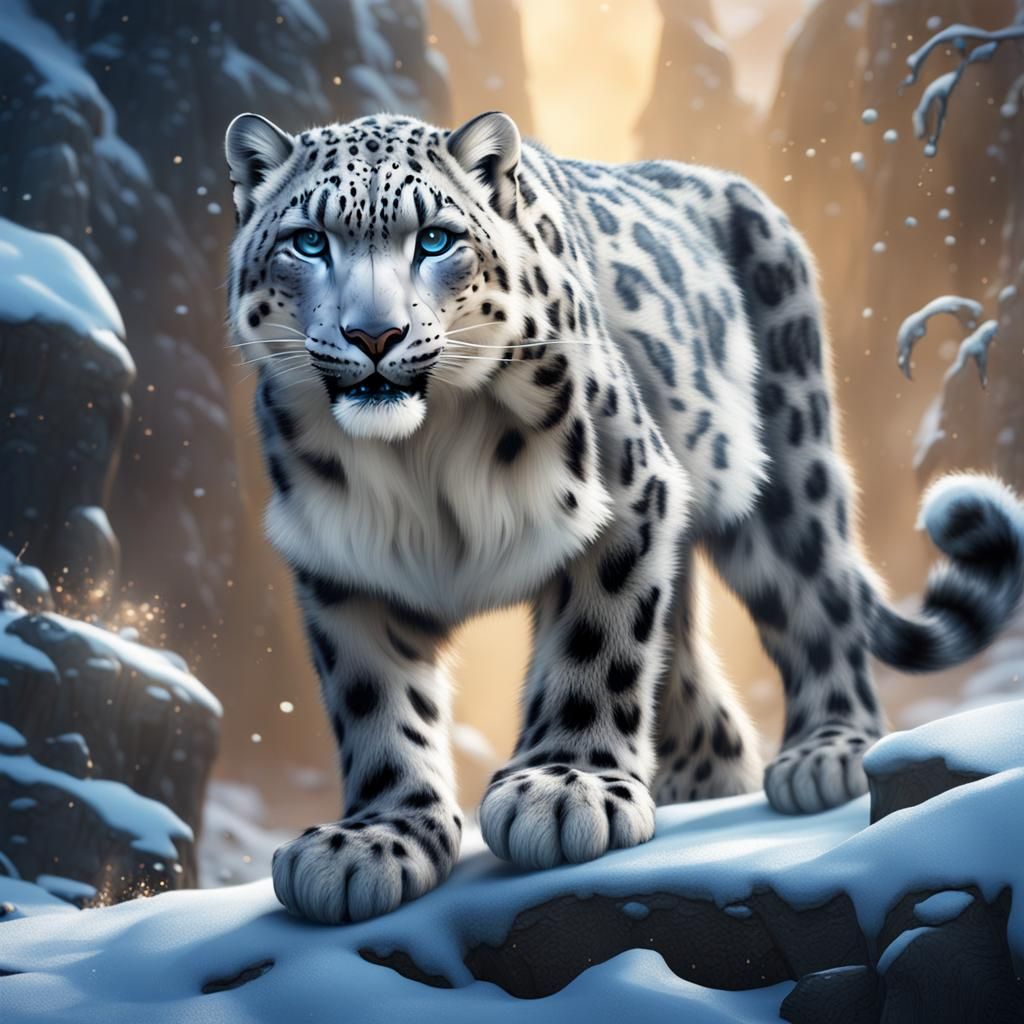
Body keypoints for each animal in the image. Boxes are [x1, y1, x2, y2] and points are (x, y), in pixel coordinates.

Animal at [224, 110, 1024, 924]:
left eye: (436, 239)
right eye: (309, 242)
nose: (374, 336)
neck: (419, 459)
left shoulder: (627, 487)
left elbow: (597, 640)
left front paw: (563, 789)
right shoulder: (339, 560)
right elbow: (375, 703)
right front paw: (374, 839)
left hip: (786, 469)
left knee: (816, 594)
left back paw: (826, 752)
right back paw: (701, 776)